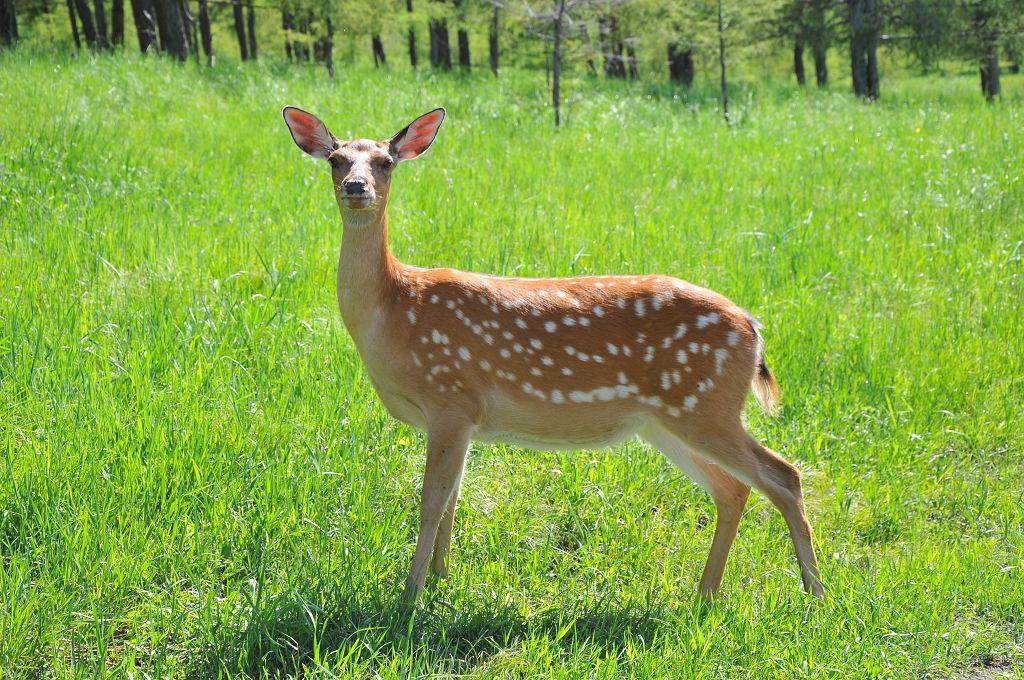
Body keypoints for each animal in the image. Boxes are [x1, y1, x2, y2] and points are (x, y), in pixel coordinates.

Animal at [282, 103, 823, 602]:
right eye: (335, 159)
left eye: (386, 162)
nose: (356, 187)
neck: (393, 310)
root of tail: (752, 327)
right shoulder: (464, 419)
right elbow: (454, 499)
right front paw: (441, 578)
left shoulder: (450, 397)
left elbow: (431, 502)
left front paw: (410, 594)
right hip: (666, 420)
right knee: (733, 489)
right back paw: (705, 594)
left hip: (705, 405)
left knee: (783, 475)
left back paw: (814, 594)